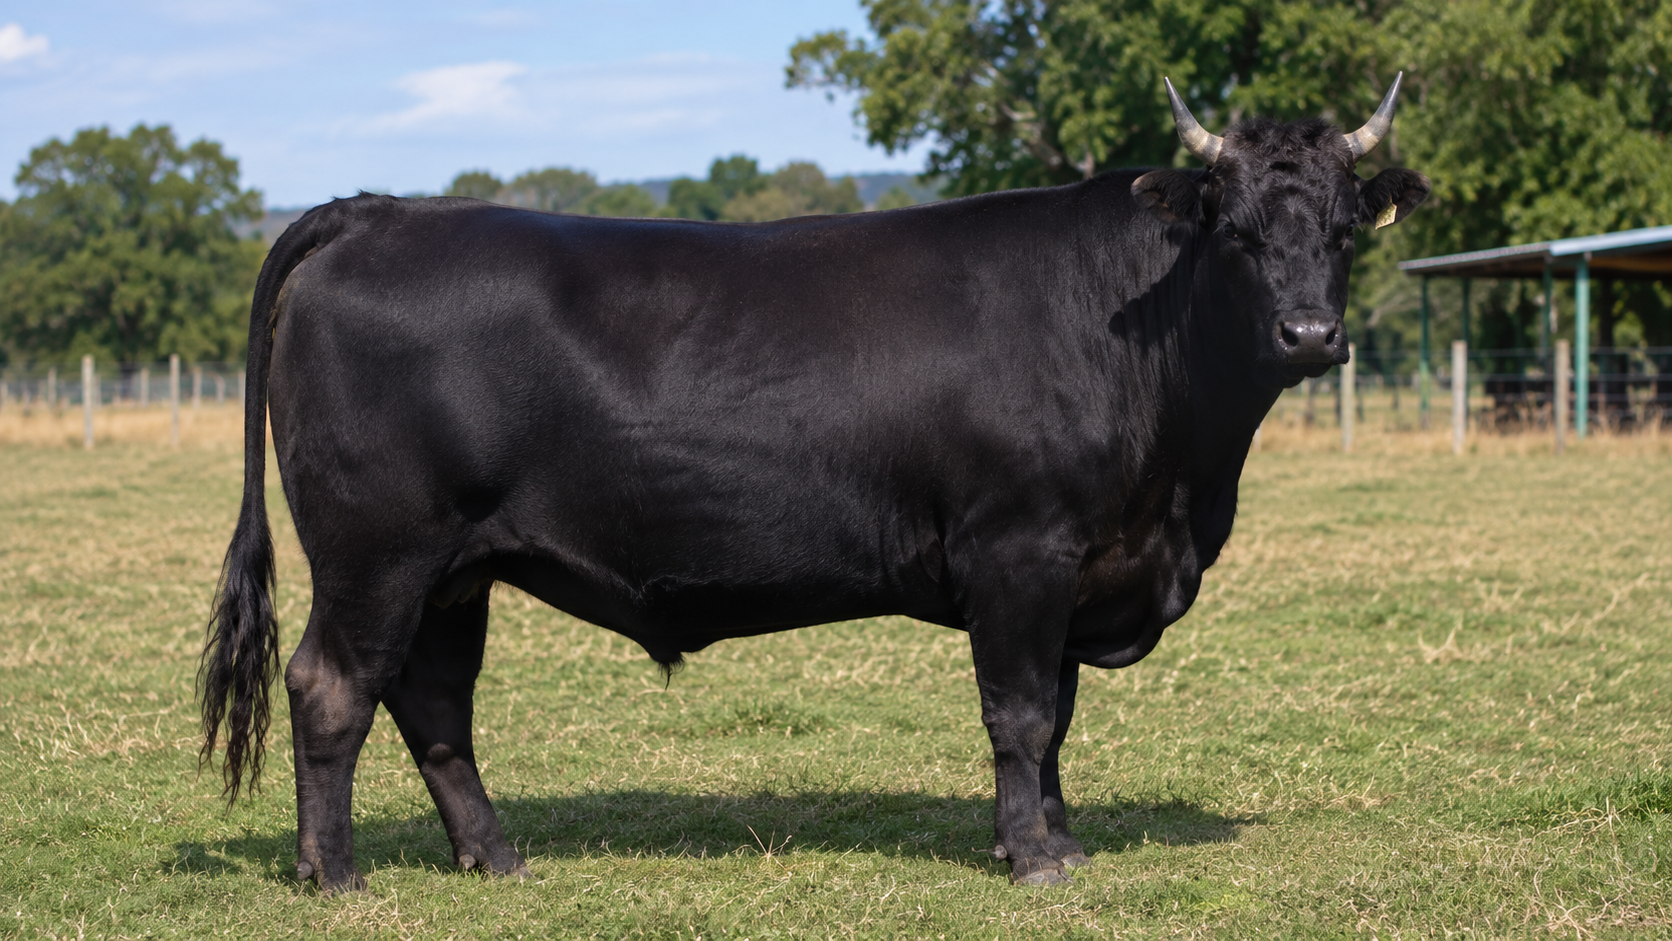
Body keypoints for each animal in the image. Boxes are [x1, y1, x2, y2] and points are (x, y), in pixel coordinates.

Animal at [199, 77, 1430, 891]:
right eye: (1233, 231)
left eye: (1341, 228)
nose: (1311, 333)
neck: (1180, 489)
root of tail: (379, 208)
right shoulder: (1019, 548)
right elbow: (1022, 710)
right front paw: (1033, 858)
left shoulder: (1081, 563)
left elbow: (1058, 717)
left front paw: (1053, 836)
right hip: (377, 550)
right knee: (332, 687)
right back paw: (335, 874)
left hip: (458, 568)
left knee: (434, 703)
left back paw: (495, 858)